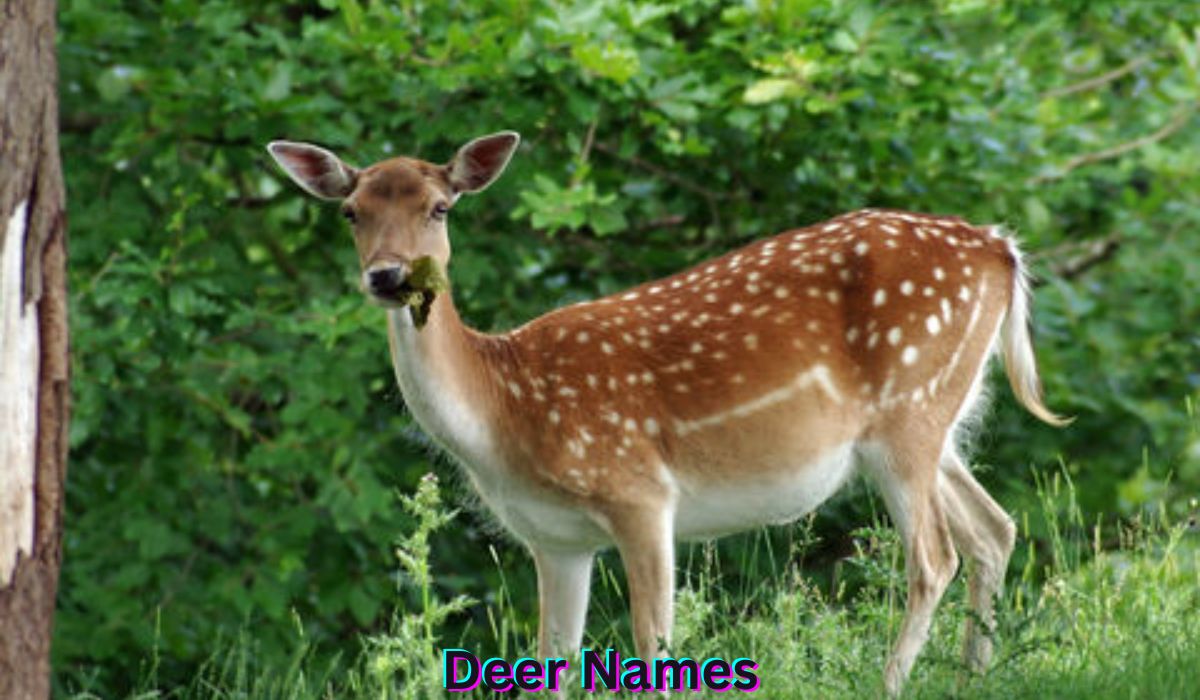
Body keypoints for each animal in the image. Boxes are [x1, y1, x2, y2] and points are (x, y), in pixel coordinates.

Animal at [266, 131, 1067, 696]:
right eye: (351, 211)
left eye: (439, 207)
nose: (387, 275)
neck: (504, 416)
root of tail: (1001, 249)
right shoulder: (554, 540)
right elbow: (551, 663)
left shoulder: (641, 492)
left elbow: (652, 645)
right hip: (934, 421)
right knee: (994, 528)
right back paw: (972, 679)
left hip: (909, 409)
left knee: (934, 557)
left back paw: (893, 685)